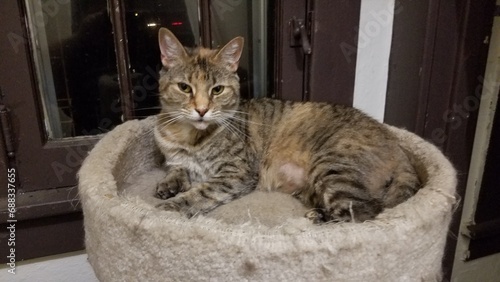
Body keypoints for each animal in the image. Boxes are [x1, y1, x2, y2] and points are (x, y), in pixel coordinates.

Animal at [152, 27, 418, 224]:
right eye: (184, 87)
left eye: (217, 90)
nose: (202, 110)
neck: (188, 137)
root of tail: (397, 146)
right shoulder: (177, 158)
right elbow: (177, 167)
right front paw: (169, 184)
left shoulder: (236, 172)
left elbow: (200, 193)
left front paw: (170, 207)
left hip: (334, 166)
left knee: (364, 211)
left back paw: (319, 217)